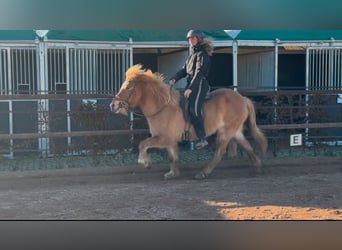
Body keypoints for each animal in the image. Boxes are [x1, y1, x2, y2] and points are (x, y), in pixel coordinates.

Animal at [110, 63, 268, 179]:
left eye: (128, 87)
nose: (113, 105)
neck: (162, 107)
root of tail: (243, 99)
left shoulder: (164, 138)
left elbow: (143, 144)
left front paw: (145, 162)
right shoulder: (170, 141)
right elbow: (172, 156)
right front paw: (172, 173)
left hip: (226, 132)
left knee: (219, 152)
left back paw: (204, 172)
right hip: (235, 131)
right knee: (247, 146)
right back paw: (258, 167)